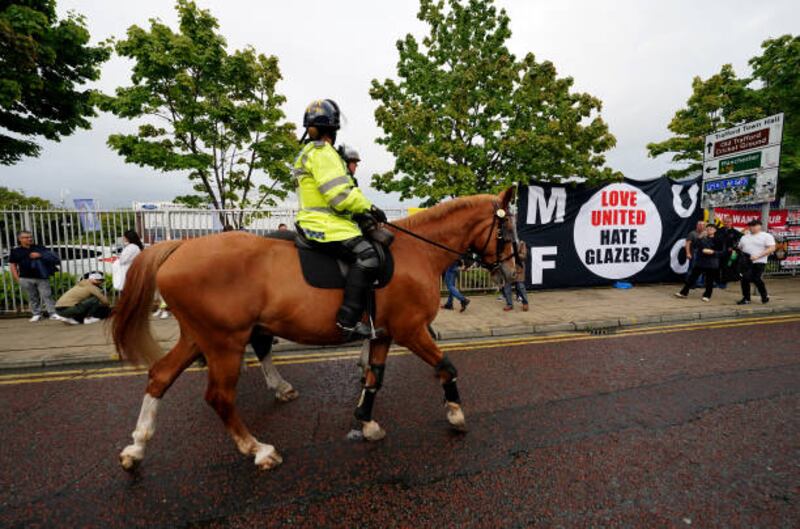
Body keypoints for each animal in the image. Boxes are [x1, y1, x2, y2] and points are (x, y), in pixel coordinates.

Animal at [114, 188, 520, 468]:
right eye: (507, 228)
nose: (515, 272)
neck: (416, 252)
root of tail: (179, 247)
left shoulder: (385, 333)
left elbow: (374, 379)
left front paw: (366, 423)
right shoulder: (411, 331)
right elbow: (446, 366)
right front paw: (456, 414)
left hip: (198, 338)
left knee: (160, 376)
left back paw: (137, 446)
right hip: (223, 342)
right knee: (220, 396)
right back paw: (258, 449)